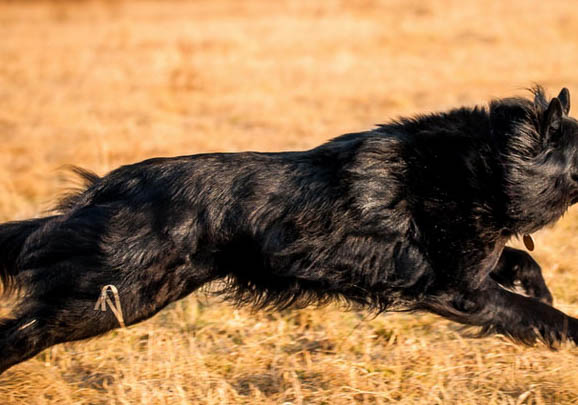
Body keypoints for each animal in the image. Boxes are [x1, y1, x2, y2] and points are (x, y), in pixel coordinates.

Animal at [1, 85, 576, 372]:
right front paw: (565, 329)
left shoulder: (474, 266)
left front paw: (540, 285)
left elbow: (521, 262)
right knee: (19, 332)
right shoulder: (457, 289)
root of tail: (109, 187)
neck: (491, 163)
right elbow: (537, 314)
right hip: (113, 297)